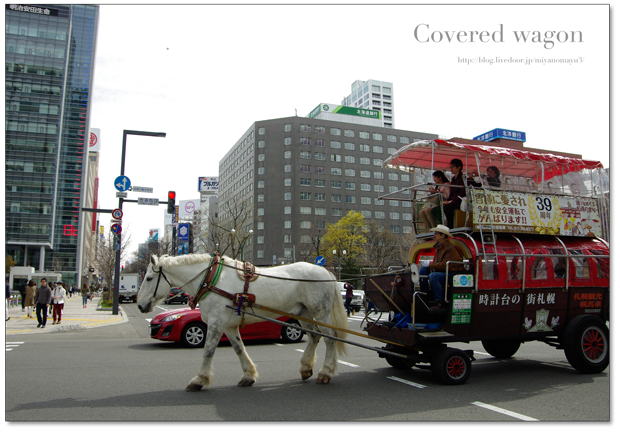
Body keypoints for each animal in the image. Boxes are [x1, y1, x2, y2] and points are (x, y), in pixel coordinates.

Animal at [137, 251, 348, 390]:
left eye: (148, 278)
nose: (139, 305)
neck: (212, 279)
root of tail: (326, 273)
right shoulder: (228, 325)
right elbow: (239, 349)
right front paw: (248, 375)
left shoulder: (215, 323)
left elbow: (208, 351)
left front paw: (199, 379)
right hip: (303, 312)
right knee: (314, 337)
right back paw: (306, 368)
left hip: (321, 312)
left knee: (330, 338)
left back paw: (326, 372)